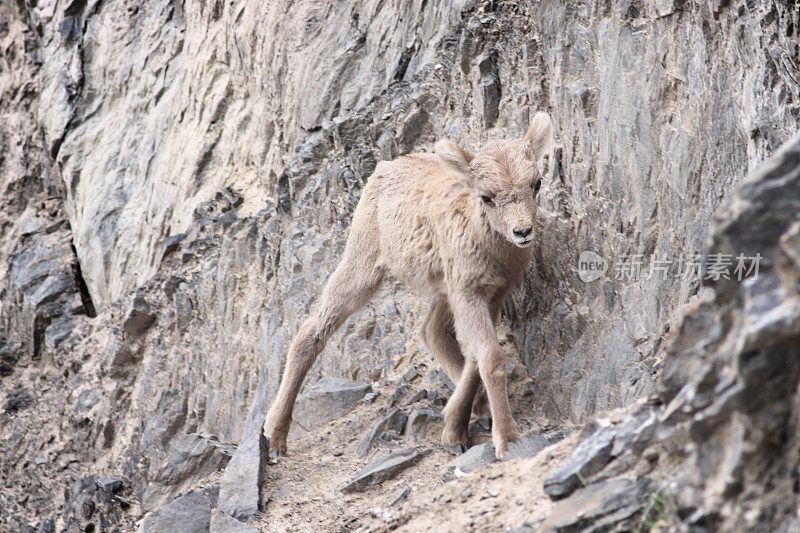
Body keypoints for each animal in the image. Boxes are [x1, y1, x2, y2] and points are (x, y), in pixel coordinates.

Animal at [266, 112, 552, 458]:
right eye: (486, 196)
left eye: (536, 184)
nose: (522, 231)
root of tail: (384, 169)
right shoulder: (468, 294)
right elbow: (491, 360)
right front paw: (507, 440)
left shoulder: (490, 296)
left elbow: (475, 357)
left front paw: (455, 429)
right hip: (361, 271)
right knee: (311, 334)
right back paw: (275, 437)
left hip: (440, 290)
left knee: (432, 332)